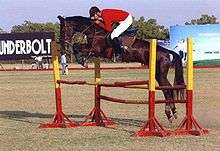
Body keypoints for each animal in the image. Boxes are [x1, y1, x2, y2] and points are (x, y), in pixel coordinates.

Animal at [57, 15, 185, 122]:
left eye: (63, 30)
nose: (63, 43)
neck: (95, 32)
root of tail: (168, 52)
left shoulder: (97, 50)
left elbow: (76, 46)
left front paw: (82, 60)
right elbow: (78, 47)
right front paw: (83, 60)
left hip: (160, 73)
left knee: (168, 89)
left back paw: (171, 112)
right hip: (158, 74)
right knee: (167, 89)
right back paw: (172, 112)